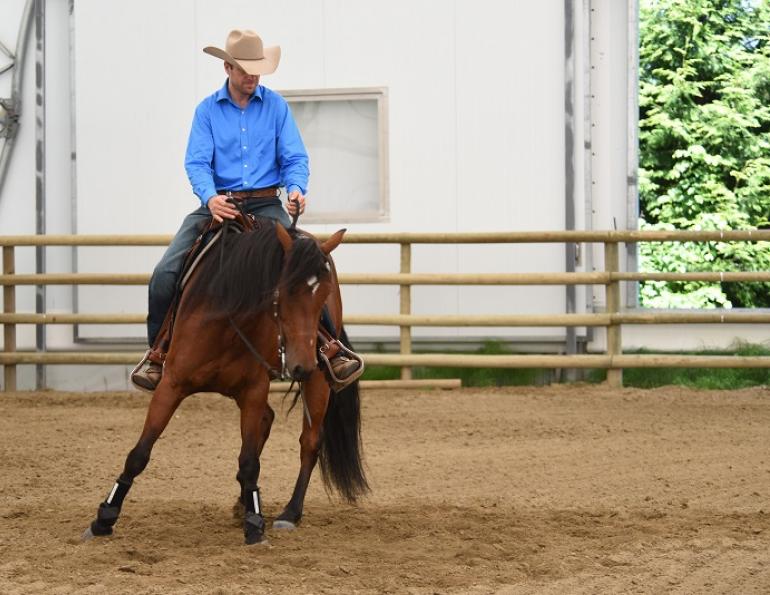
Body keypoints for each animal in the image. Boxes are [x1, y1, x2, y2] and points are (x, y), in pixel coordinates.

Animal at [83, 218, 369, 544]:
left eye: (322, 296)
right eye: (282, 291)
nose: (302, 364)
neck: (226, 317)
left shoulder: (254, 389)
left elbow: (249, 461)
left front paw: (255, 524)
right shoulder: (171, 385)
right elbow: (139, 454)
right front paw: (103, 519)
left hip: (317, 380)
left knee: (309, 442)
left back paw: (289, 512)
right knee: (269, 420)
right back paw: (243, 501)